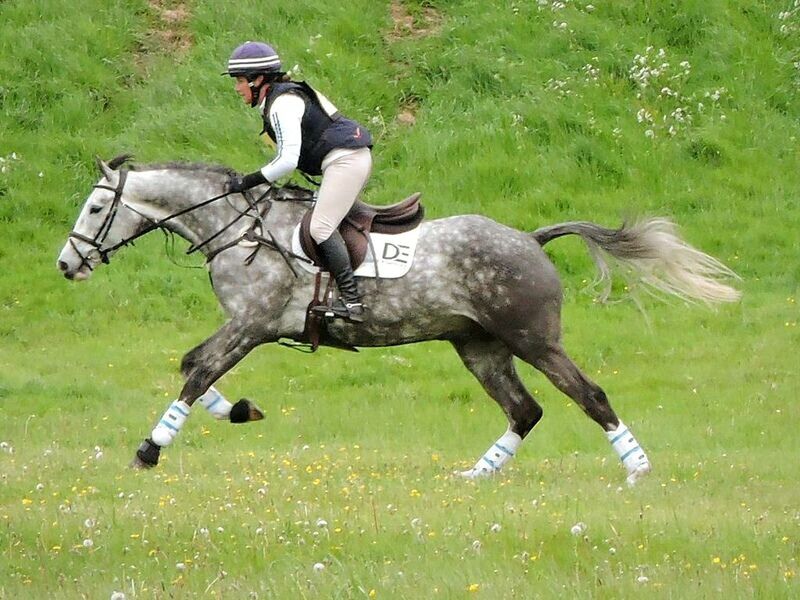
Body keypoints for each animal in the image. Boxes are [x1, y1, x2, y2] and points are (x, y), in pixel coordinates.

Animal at [56, 155, 740, 482]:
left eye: (93, 208)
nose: (66, 265)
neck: (239, 227)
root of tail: (529, 238)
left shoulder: (252, 325)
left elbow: (196, 372)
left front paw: (149, 451)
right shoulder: (250, 328)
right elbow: (193, 368)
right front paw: (240, 411)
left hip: (533, 340)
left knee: (589, 395)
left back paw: (638, 469)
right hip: (480, 347)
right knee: (525, 411)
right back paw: (476, 476)